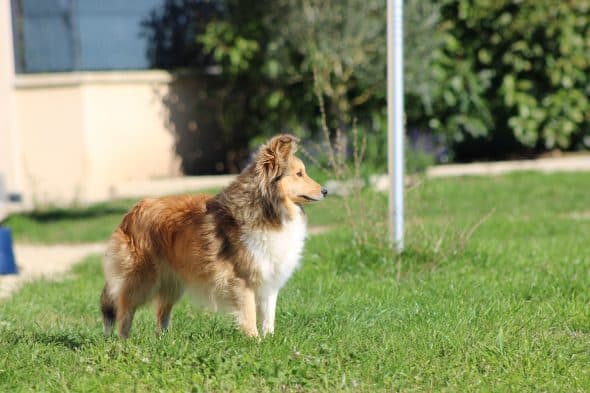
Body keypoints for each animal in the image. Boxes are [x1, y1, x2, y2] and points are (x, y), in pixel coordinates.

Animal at [99, 134, 326, 336]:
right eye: (299, 174)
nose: (325, 191)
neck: (268, 210)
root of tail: (132, 211)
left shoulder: (268, 278)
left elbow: (268, 318)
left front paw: (269, 340)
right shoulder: (242, 280)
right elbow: (249, 315)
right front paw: (255, 341)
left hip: (172, 282)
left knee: (161, 314)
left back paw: (164, 341)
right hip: (143, 279)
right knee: (124, 308)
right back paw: (124, 342)